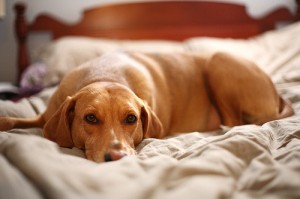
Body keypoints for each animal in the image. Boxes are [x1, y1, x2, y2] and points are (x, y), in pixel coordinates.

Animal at [0, 51, 292, 162]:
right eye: (90, 118)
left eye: (131, 119)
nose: (118, 157)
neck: (105, 74)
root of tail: (276, 92)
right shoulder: (47, 114)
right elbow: (21, 119)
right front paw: (6, 121)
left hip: (217, 61)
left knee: (232, 122)